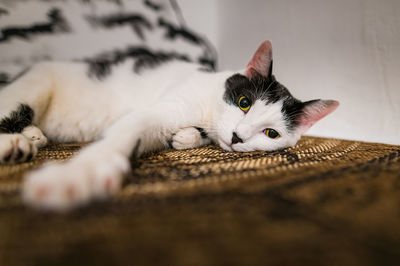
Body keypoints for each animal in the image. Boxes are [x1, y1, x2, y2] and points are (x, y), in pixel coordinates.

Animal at [0, 40, 340, 211]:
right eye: (244, 102)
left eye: (271, 133)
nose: (237, 137)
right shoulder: (161, 110)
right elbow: (122, 135)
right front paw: (80, 174)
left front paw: (186, 138)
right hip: (33, 87)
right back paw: (14, 144)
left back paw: (33, 136)